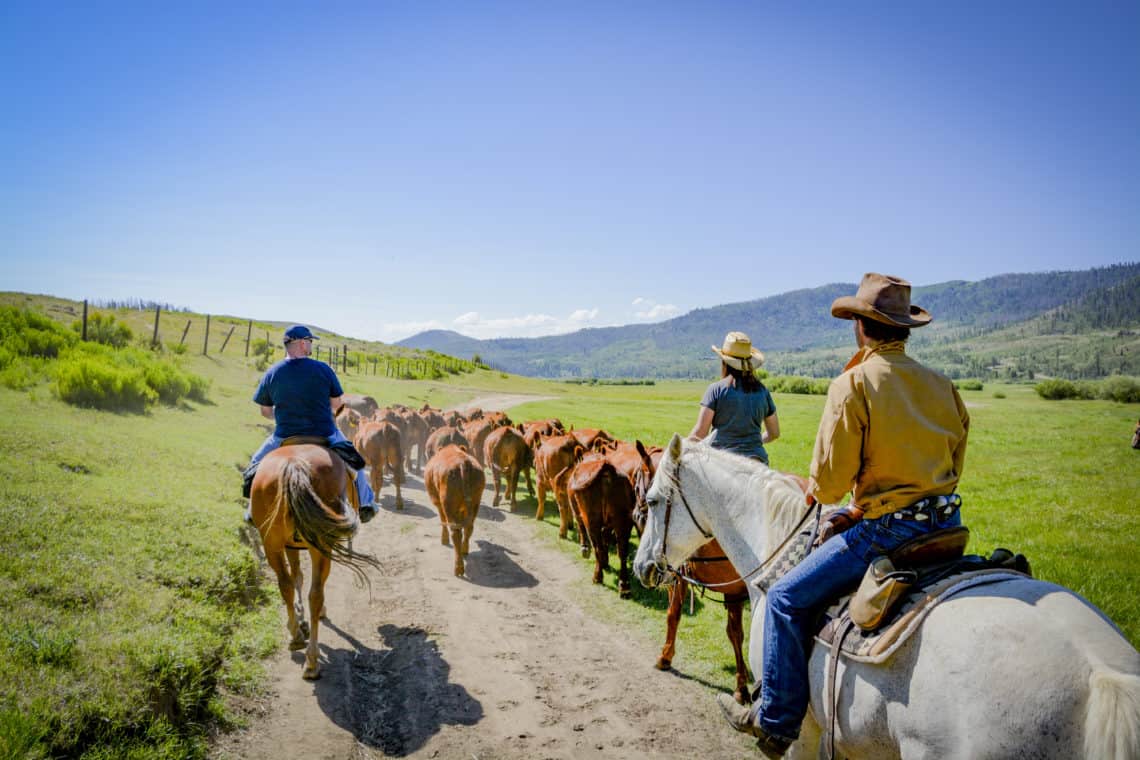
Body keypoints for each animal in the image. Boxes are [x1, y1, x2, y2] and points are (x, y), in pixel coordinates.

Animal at [251, 442, 380, 679]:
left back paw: (296, 638)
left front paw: (300, 621)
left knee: (286, 585)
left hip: (271, 543)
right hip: (320, 545)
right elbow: (301, 578)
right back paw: (311, 658)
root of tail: (294, 464)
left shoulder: (289, 545)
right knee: (316, 593)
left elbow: (296, 577)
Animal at [424, 446, 485, 576]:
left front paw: (444, 539)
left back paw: (458, 567)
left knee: (455, 532)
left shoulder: (438, 502)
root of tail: (463, 462)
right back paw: (464, 550)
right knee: (468, 528)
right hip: (475, 502)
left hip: (448, 504)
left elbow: (442, 519)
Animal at [565, 455, 638, 597]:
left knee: (597, 547)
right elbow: (606, 539)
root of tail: (607, 469)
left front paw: (585, 549)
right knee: (622, 552)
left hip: (592, 520)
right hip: (623, 520)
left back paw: (597, 577)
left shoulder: (578, 512)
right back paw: (624, 586)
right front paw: (606, 560)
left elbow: (582, 529)